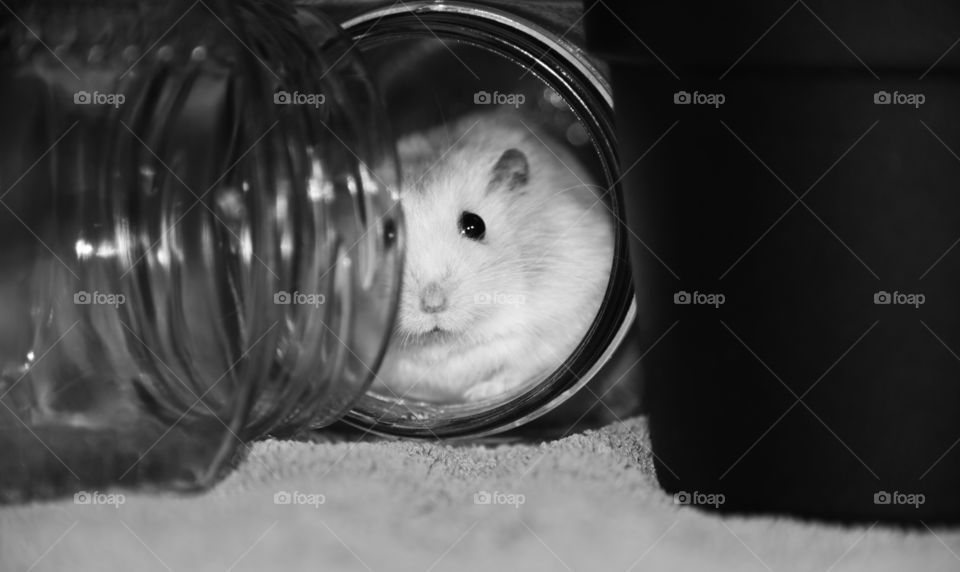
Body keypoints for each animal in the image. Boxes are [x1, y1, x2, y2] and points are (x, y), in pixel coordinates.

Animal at [374, 110, 614, 403]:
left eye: (475, 225)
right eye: (386, 236)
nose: (432, 304)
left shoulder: (570, 310)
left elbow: (520, 365)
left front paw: (478, 394)